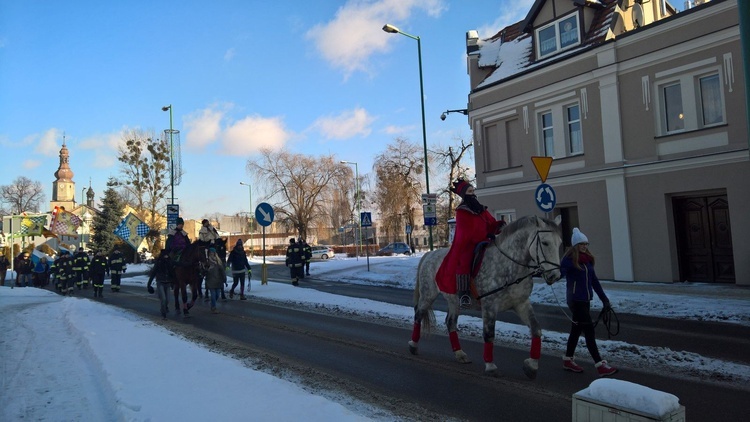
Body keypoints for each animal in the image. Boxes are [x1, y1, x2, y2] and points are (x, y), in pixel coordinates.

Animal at [412, 216, 564, 378]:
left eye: (559, 243)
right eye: (545, 242)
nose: (555, 276)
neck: (509, 267)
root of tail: (429, 254)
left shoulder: (521, 304)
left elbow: (536, 329)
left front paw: (532, 366)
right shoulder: (489, 305)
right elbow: (489, 334)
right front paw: (490, 366)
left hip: (453, 301)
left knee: (450, 323)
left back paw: (460, 354)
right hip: (428, 295)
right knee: (418, 315)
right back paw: (413, 345)